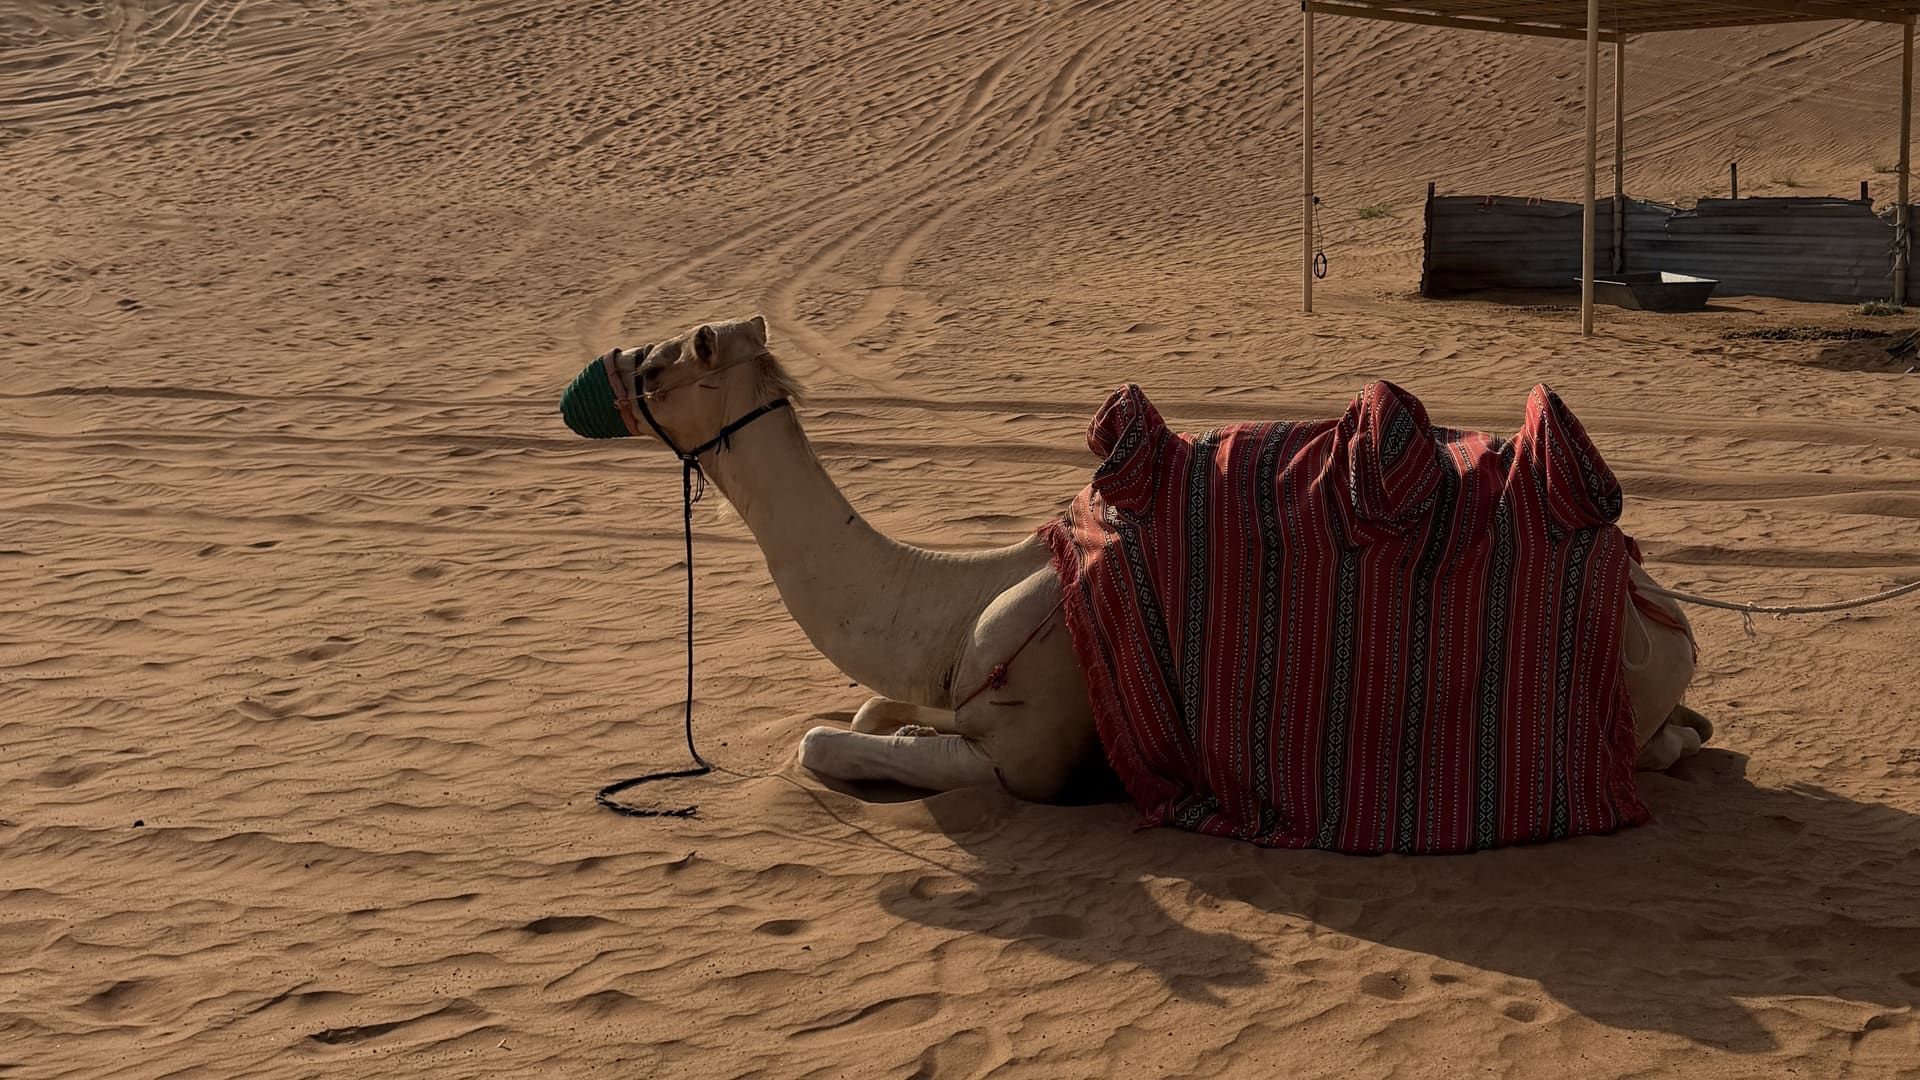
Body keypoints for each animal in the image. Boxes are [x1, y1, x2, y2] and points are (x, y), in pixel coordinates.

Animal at [582, 315, 1711, 804]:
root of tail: (1661, 602)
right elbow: (865, 710)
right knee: (1681, 736)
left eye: (672, 358)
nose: (604, 369)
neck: (957, 599)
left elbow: (831, 743)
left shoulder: (1032, 752)